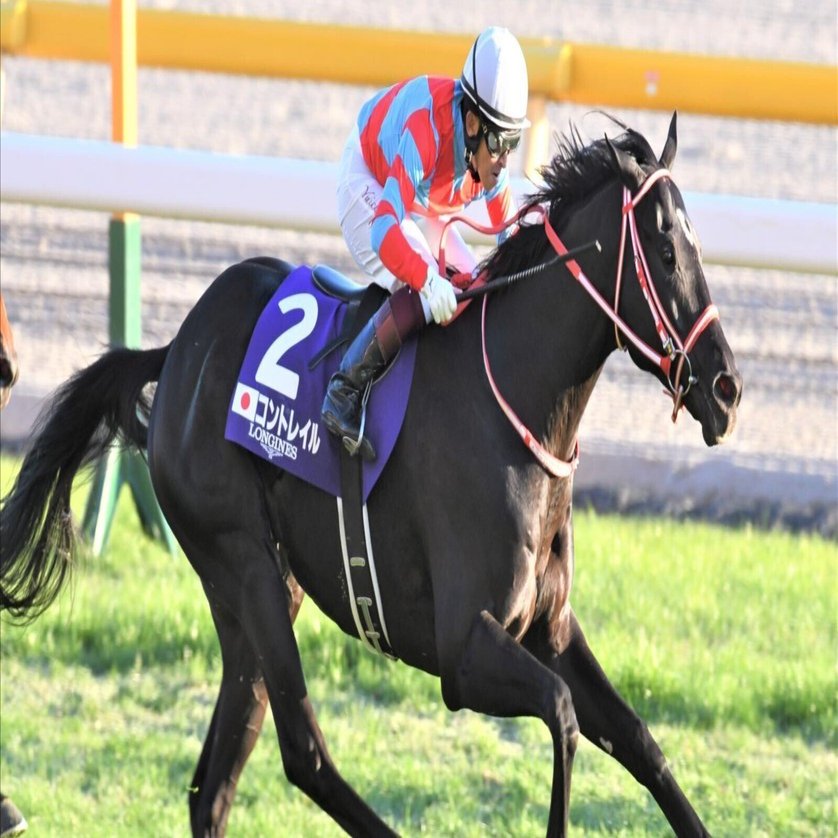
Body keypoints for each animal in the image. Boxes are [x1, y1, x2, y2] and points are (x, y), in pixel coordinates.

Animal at [0, 113, 741, 837]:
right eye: (668, 253)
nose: (728, 388)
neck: (512, 401)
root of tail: (178, 349)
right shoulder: (461, 652)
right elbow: (561, 716)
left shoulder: (550, 629)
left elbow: (641, 741)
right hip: (245, 565)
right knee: (304, 754)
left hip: (259, 594)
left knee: (215, 783)